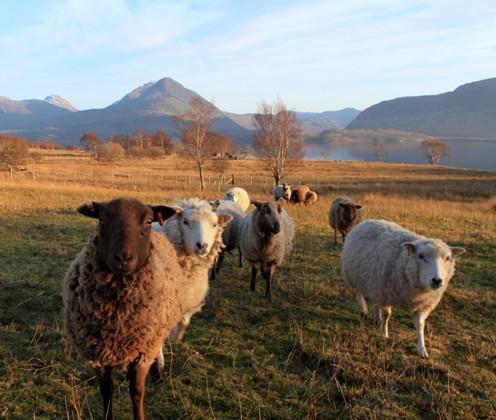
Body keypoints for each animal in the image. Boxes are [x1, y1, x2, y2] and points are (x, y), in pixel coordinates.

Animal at [63, 198, 183, 420]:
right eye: (101, 218)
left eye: (148, 221)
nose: (123, 257)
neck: (117, 318)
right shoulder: (98, 354)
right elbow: (106, 391)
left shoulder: (142, 351)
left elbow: (136, 392)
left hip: (155, 333)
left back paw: (157, 375)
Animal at [340, 220, 464, 358]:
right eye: (421, 256)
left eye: (447, 258)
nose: (437, 280)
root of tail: (368, 221)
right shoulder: (385, 294)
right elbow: (387, 315)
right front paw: (384, 334)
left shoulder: (422, 305)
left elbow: (420, 325)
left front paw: (422, 349)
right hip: (354, 275)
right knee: (359, 293)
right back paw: (364, 309)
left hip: (374, 283)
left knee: (375, 301)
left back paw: (376, 317)